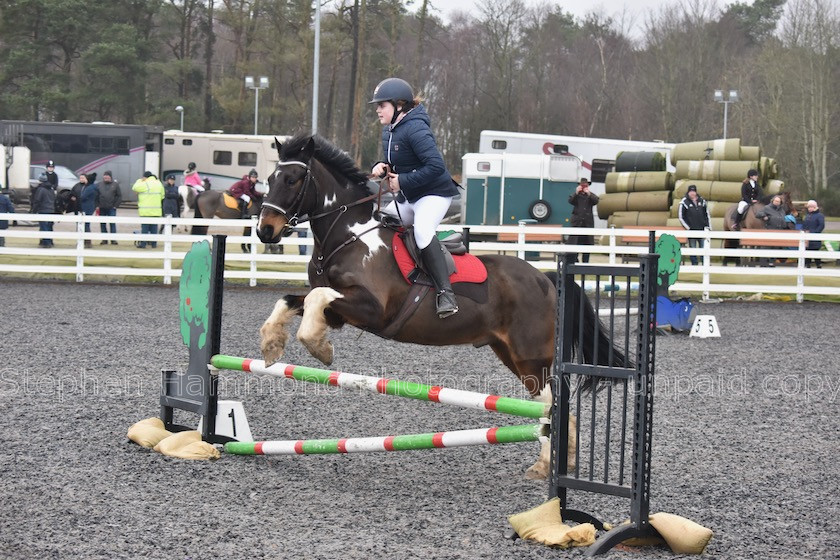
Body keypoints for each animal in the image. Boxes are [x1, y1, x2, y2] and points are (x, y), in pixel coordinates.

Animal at [256, 133, 632, 480]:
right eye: (270, 179)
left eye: (293, 179)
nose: (265, 231)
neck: (349, 234)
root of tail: (548, 279)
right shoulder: (338, 310)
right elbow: (293, 300)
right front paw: (272, 345)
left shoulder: (372, 309)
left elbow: (317, 299)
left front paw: (320, 349)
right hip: (510, 353)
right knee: (550, 405)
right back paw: (556, 463)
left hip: (532, 356)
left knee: (553, 405)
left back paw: (547, 466)